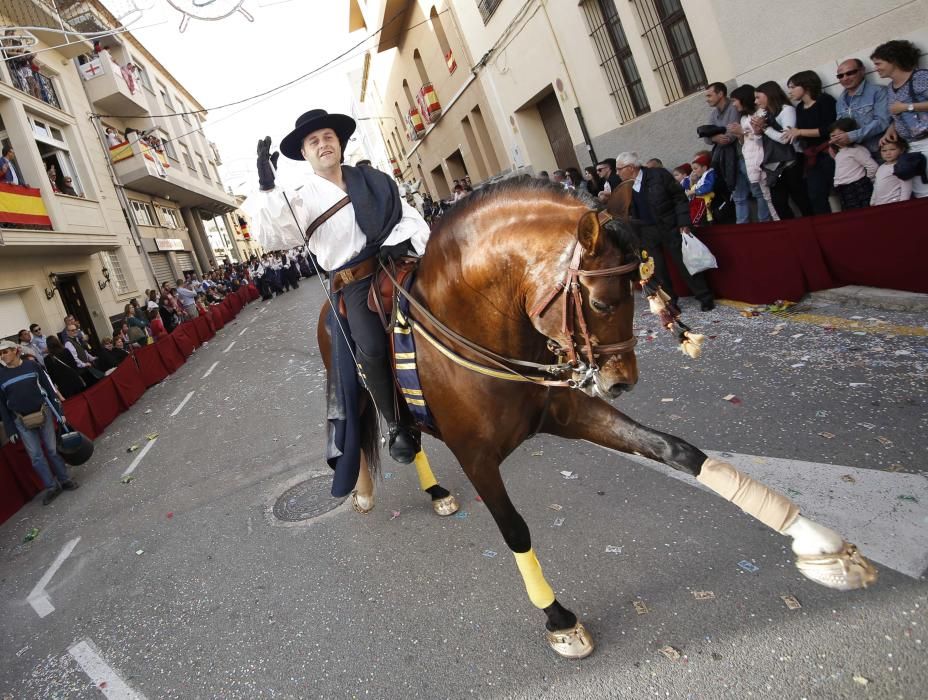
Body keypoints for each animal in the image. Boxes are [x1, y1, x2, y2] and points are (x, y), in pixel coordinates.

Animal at [318, 178, 872, 660]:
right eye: (603, 302)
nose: (622, 381)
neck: (472, 326)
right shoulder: (476, 455)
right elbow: (515, 530)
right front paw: (559, 619)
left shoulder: (569, 411)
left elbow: (676, 450)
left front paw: (815, 539)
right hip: (358, 384)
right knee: (373, 431)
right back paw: (366, 487)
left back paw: (433, 491)